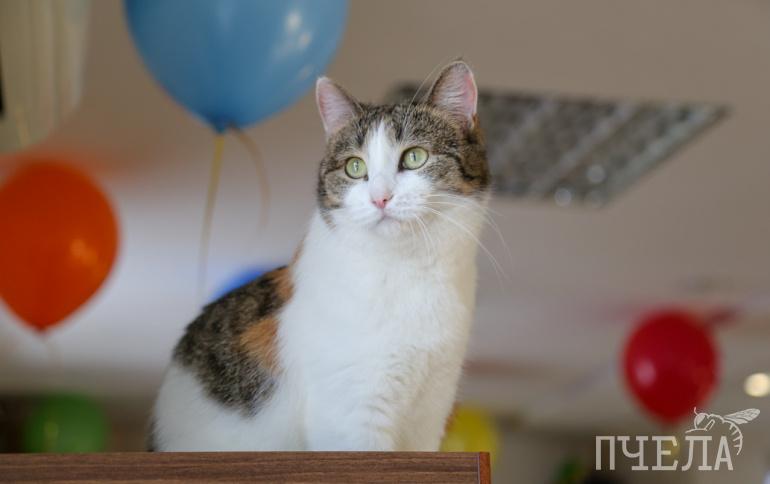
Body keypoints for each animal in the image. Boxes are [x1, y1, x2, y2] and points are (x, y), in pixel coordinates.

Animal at [150, 61, 490, 451]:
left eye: (415, 157)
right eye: (355, 167)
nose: (380, 198)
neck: (407, 270)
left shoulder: (431, 411)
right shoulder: (354, 415)